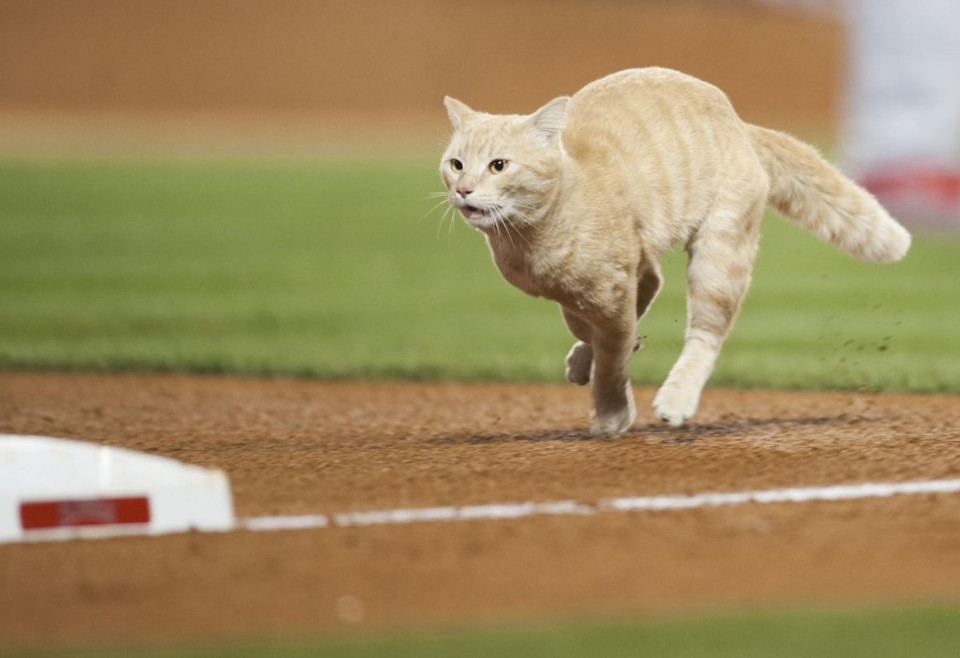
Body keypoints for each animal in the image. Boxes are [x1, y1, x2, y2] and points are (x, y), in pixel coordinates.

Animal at [438, 66, 912, 436]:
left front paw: (611, 413)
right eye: (456, 164)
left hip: (720, 253)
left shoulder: (612, 287)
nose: (464, 190)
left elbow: (611, 353)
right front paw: (595, 355)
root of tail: (738, 121)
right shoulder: (614, 277)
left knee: (706, 333)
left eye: (499, 165)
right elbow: (594, 324)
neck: (528, 240)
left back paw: (677, 398)